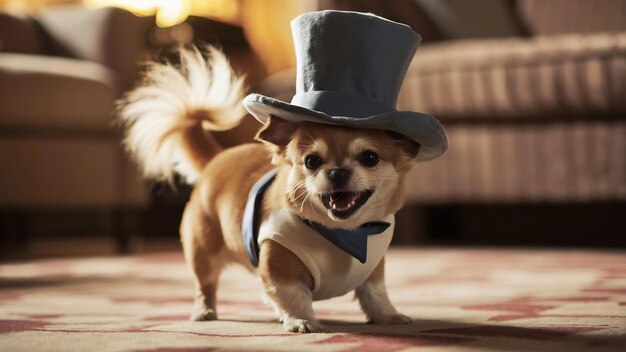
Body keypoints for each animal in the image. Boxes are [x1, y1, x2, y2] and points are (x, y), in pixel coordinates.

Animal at [119, 10, 446, 332]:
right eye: (311, 161)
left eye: (369, 157)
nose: (337, 172)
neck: (345, 235)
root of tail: (218, 158)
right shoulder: (278, 263)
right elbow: (291, 293)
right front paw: (301, 319)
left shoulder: (374, 268)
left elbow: (375, 293)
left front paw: (388, 316)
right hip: (203, 251)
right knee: (205, 285)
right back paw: (204, 311)